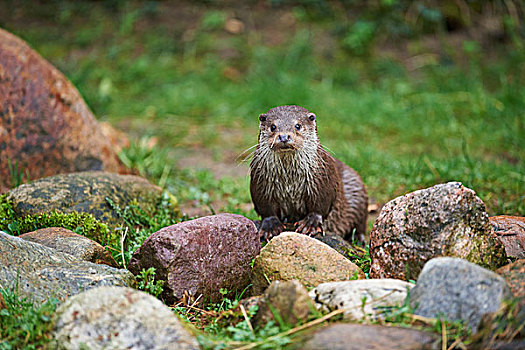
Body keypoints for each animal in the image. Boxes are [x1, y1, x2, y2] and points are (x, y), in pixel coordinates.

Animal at [251, 105, 368, 245]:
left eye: (298, 126)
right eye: (273, 127)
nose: (284, 137)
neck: (290, 181)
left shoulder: (322, 179)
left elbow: (320, 204)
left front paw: (310, 224)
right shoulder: (260, 181)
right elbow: (265, 207)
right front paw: (271, 226)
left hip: (356, 187)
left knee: (360, 222)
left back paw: (358, 239)